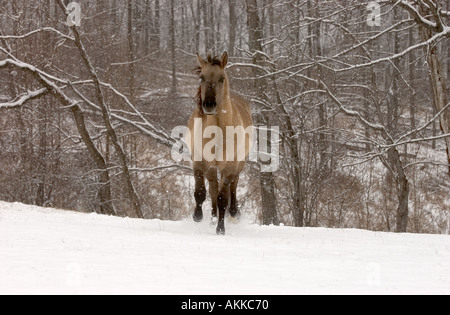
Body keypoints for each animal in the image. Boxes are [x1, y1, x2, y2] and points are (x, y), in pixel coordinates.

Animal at [186, 51, 253, 235]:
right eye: (202, 77)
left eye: (222, 78)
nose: (209, 104)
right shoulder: (199, 163)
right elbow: (201, 193)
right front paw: (197, 216)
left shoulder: (228, 167)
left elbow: (223, 197)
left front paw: (221, 228)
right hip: (211, 168)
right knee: (213, 188)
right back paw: (212, 216)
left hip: (239, 164)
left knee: (233, 186)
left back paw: (233, 213)